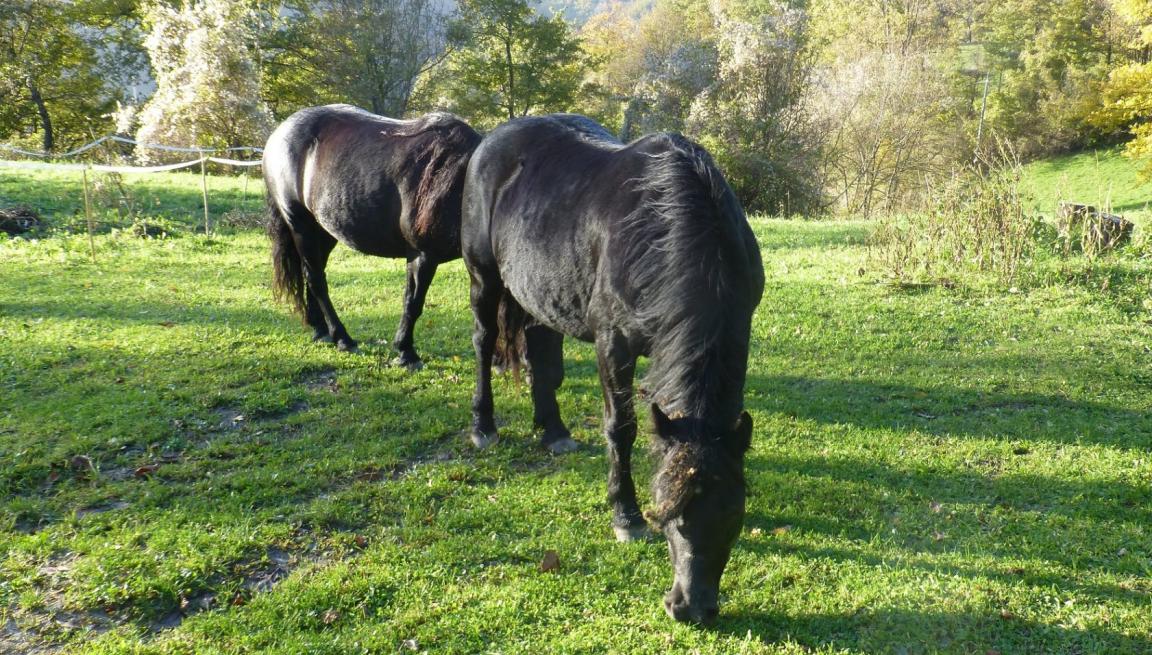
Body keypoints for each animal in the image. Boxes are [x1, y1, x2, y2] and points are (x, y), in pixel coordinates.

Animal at [263, 104, 482, 367]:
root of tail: (278, 134)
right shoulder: (423, 255)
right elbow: (413, 303)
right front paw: (406, 353)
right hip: (300, 226)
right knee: (315, 279)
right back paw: (342, 338)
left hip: (323, 232)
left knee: (312, 275)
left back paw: (321, 330)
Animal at [461, 114, 764, 624]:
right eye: (667, 511)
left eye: (733, 514)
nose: (690, 607)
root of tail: (492, 141)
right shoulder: (613, 345)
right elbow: (620, 427)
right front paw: (625, 515)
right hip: (484, 278)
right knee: (484, 344)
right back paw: (484, 426)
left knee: (541, 355)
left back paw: (553, 430)